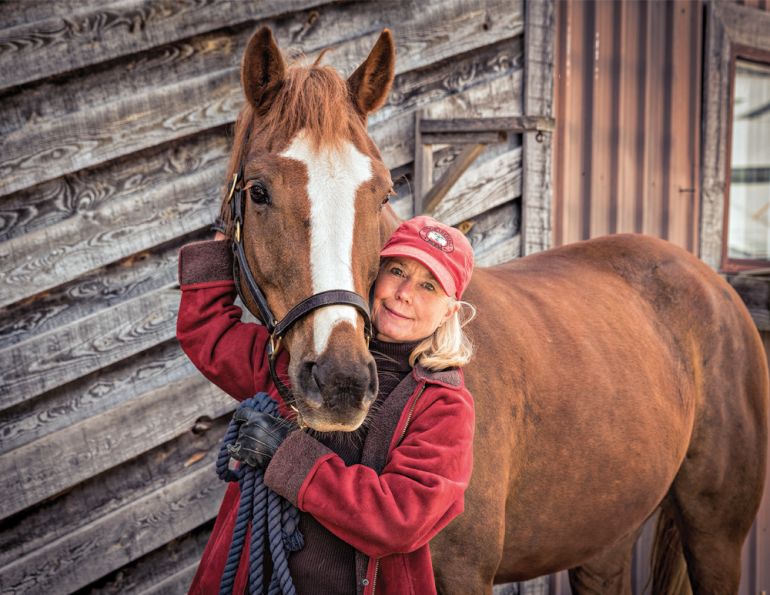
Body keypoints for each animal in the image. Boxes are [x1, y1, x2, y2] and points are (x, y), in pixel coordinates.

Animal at [216, 26, 769, 594]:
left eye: (383, 194)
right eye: (258, 191)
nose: (341, 381)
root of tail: (713, 284)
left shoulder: (464, 574)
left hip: (716, 536)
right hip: (607, 532)